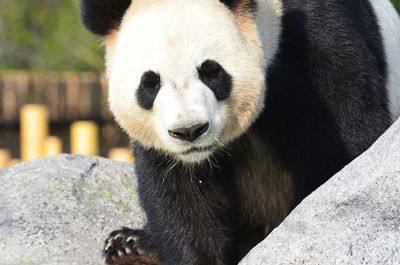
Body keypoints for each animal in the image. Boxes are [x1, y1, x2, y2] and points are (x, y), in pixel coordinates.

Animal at [79, 0, 400, 264]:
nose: (190, 131)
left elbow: (344, 152)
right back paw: (131, 247)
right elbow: (184, 198)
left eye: (210, 71)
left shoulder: (321, 46)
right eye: (150, 83)